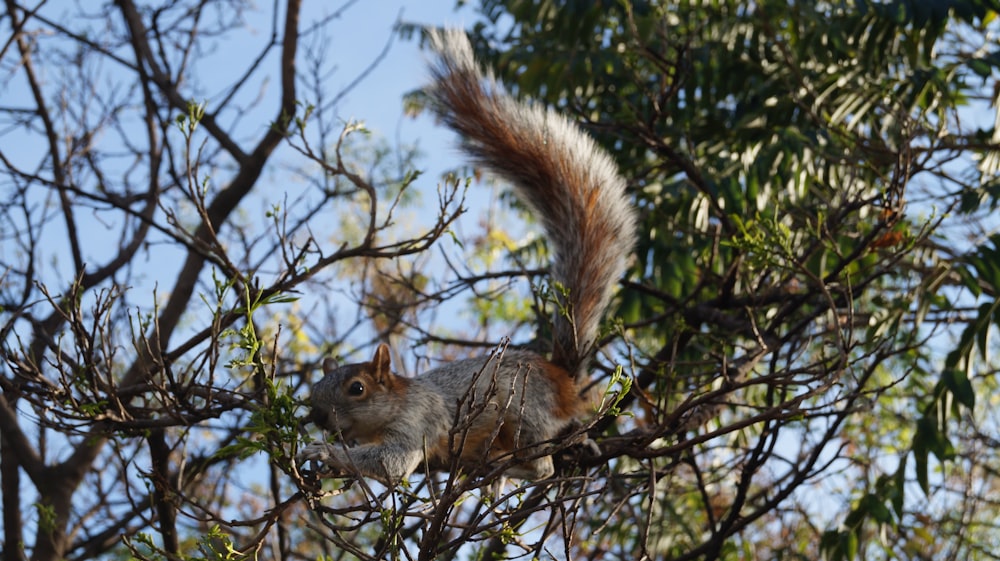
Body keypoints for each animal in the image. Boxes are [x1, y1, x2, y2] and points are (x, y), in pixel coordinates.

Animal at [296, 28, 636, 484]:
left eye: (357, 389)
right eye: (315, 389)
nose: (317, 417)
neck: (397, 400)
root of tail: (563, 380)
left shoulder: (418, 421)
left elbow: (391, 462)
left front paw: (322, 451)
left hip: (525, 416)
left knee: (541, 465)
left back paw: (502, 469)